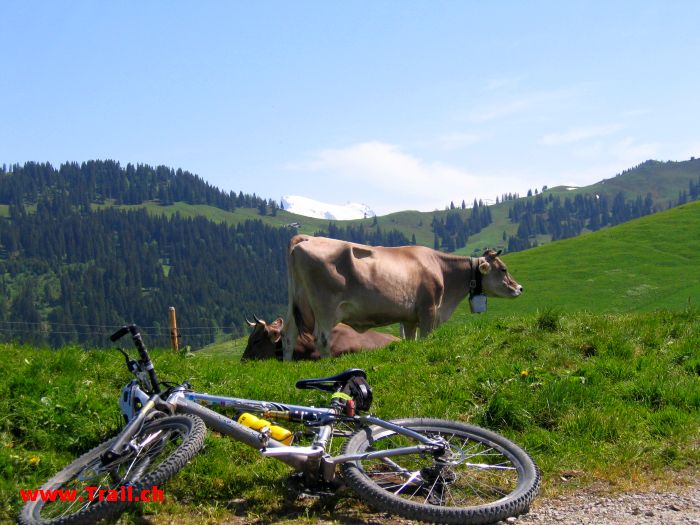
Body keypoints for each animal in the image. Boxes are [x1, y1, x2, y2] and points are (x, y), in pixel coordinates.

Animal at [282, 234, 524, 360]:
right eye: (503, 269)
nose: (520, 288)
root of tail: (306, 239)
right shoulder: (429, 311)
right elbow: (426, 339)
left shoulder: (409, 318)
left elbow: (411, 340)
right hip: (326, 307)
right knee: (321, 338)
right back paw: (329, 365)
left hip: (295, 303)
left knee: (287, 336)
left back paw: (286, 363)